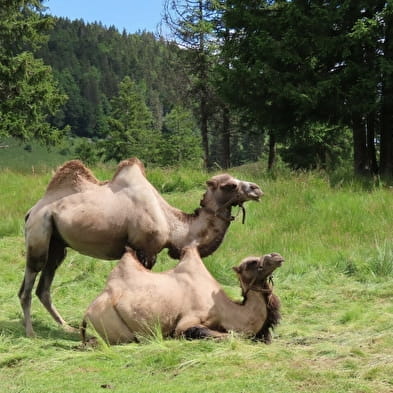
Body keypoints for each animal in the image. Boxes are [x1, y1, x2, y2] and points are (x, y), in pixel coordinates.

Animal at [19, 158, 264, 336]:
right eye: (230, 185)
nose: (256, 189)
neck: (172, 224)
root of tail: (32, 210)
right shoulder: (146, 249)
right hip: (39, 233)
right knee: (29, 283)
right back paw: (31, 332)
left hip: (57, 243)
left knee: (44, 285)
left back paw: (65, 327)